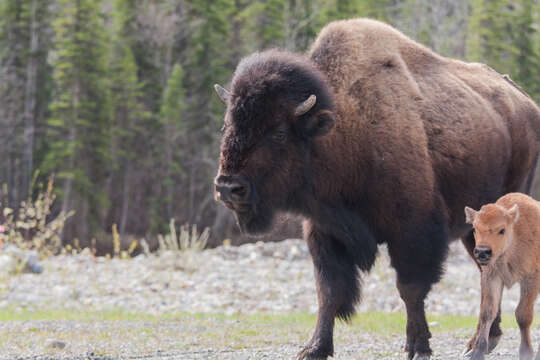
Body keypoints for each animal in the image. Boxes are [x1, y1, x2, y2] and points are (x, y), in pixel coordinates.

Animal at [464, 194, 540, 360]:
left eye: (502, 230)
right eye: (475, 228)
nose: (482, 252)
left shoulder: (531, 278)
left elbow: (523, 314)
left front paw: (526, 352)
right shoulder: (492, 277)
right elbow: (487, 312)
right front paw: (477, 352)